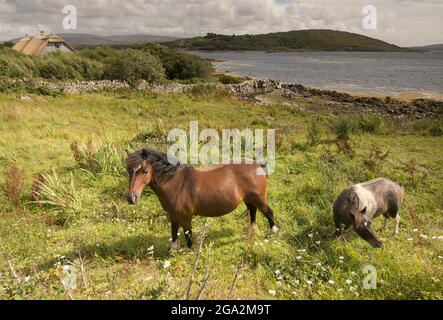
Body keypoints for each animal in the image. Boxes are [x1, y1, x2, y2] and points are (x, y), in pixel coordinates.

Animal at [125, 149, 278, 249]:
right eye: (128, 170)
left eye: (145, 171)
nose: (132, 198)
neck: (175, 183)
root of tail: (258, 166)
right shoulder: (173, 215)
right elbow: (174, 232)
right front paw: (173, 249)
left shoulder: (185, 217)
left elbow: (188, 234)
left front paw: (188, 250)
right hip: (249, 199)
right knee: (253, 212)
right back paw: (251, 231)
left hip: (258, 198)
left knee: (268, 212)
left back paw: (273, 231)